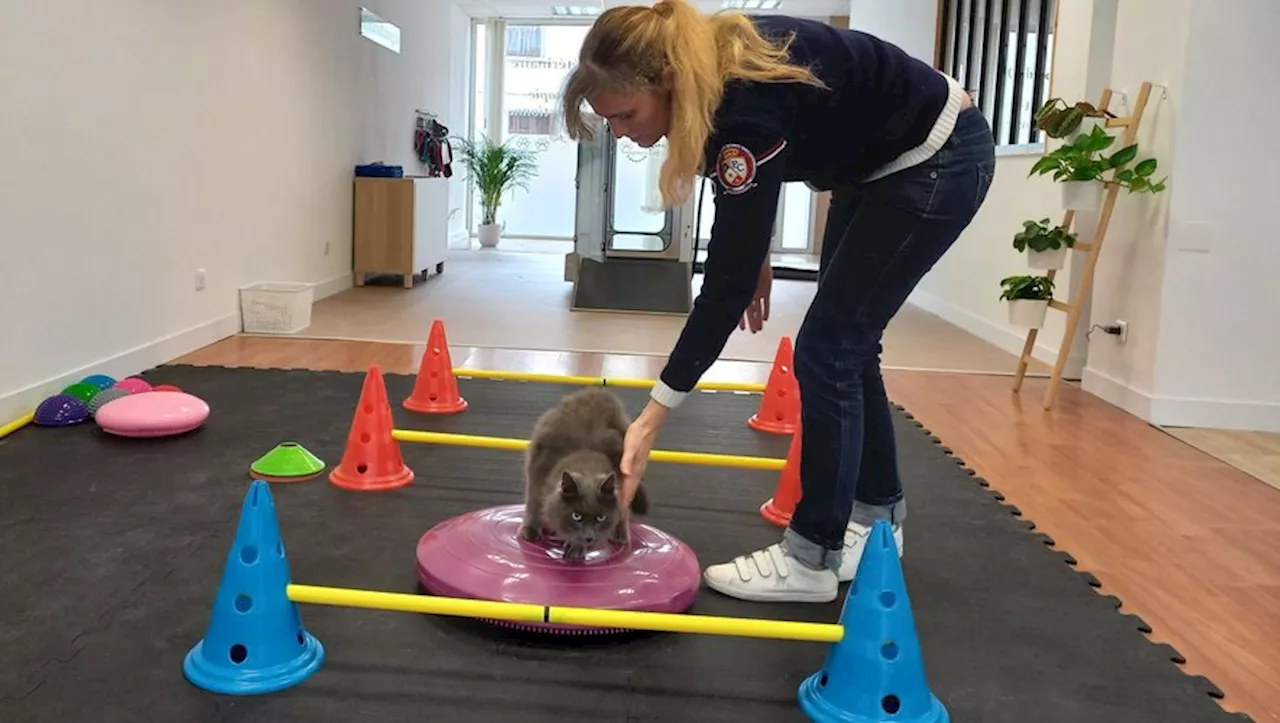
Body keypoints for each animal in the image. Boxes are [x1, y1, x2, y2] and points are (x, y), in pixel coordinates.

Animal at [517, 389, 650, 557]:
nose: (589, 537)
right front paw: (530, 530)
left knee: (623, 511)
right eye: (576, 516)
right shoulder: (537, 474)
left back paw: (620, 535)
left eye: (600, 517)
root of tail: (600, 391)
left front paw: (576, 547)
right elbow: (533, 505)